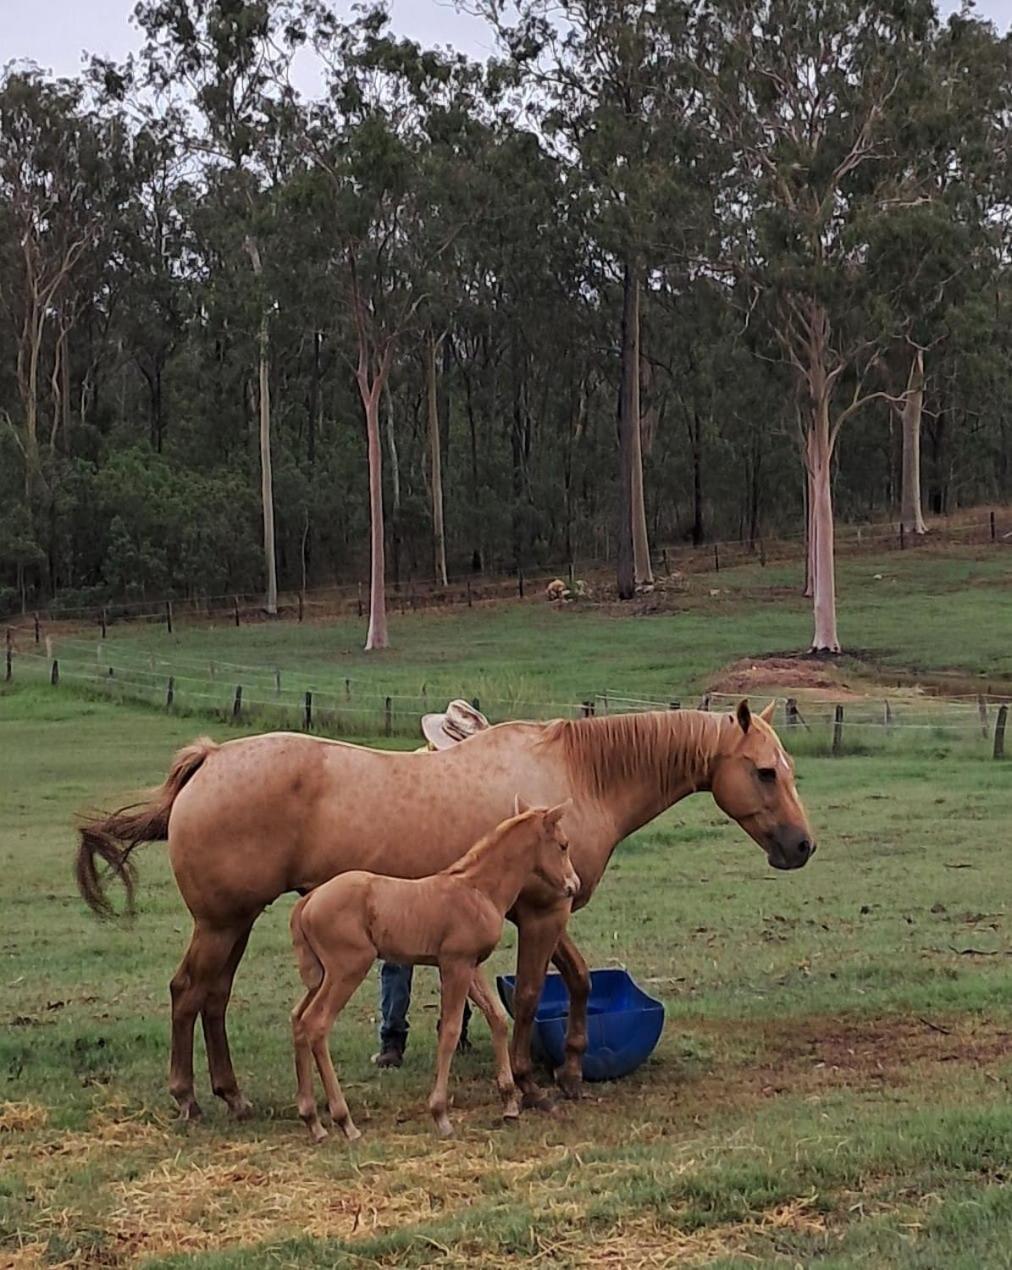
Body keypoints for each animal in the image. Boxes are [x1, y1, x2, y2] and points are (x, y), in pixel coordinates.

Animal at [290, 799, 578, 1141]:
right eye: (563, 845)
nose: (574, 885)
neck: (478, 890)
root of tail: (309, 900)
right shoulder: (456, 964)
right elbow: (451, 1031)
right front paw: (440, 1114)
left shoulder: (471, 965)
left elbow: (496, 1017)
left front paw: (509, 1102)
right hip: (347, 969)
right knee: (317, 1024)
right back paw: (344, 1121)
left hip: (320, 976)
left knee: (298, 1019)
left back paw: (312, 1120)